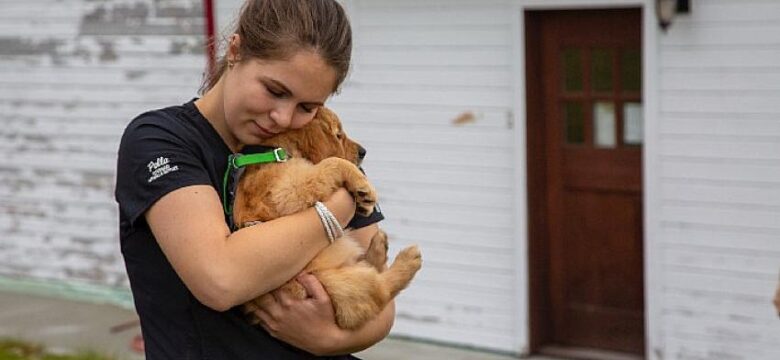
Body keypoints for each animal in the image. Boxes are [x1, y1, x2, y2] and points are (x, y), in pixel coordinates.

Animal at [235, 106, 424, 330]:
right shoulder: (289, 190)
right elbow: (332, 162)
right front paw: (363, 185)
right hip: (338, 283)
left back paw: (380, 245)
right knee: (380, 291)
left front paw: (362, 202)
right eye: (338, 135)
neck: (277, 151)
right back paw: (408, 259)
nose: (363, 152)